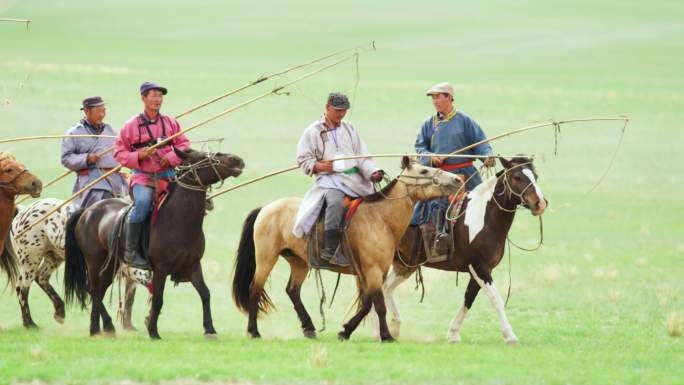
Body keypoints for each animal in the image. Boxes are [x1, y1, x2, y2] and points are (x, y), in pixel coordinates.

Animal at [62, 148, 243, 338]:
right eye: (201, 158)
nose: (237, 160)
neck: (179, 220)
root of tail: (86, 212)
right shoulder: (161, 268)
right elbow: (158, 299)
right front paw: (153, 331)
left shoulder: (193, 265)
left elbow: (205, 293)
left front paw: (209, 329)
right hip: (94, 261)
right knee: (94, 289)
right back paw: (107, 325)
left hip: (111, 264)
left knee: (99, 290)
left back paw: (96, 329)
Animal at [232, 156, 462, 342]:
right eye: (424, 171)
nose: (457, 180)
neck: (381, 219)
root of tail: (265, 208)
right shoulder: (372, 270)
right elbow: (378, 304)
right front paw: (386, 336)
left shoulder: (375, 272)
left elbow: (367, 303)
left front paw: (345, 331)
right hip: (266, 258)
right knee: (254, 289)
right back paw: (254, 331)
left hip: (299, 261)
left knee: (292, 291)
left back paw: (309, 328)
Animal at [372, 158, 548, 344]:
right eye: (517, 177)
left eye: (535, 176)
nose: (540, 204)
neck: (484, 217)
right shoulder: (479, 267)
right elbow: (496, 299)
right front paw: (510, 336)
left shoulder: (480, 270)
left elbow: (468, 300)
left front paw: (453, 333)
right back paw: (377, 332)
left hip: (405, 266)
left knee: (385, 289)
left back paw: (393, 326)